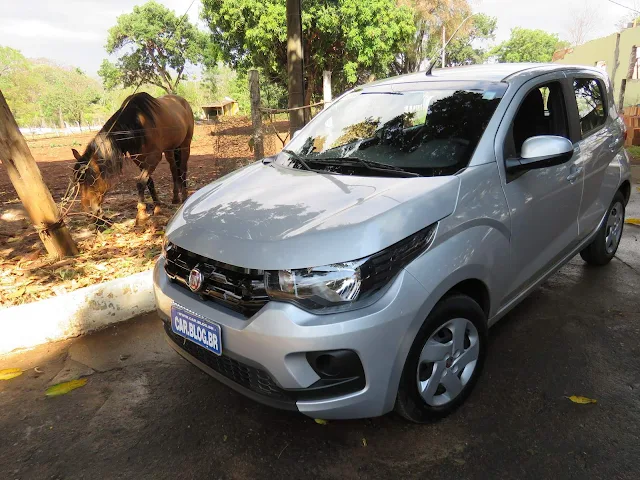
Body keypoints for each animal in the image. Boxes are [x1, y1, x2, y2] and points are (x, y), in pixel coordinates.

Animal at [71, 93, 194, 224]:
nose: (89, 213)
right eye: (78, 181)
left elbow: (140, 182)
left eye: (92, 180)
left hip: (185, 144)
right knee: (174, 169)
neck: (137, 124)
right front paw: (157, 208)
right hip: (170, 149)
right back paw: (175, 198)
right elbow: (149, 182)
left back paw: (185, 197)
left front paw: (141, 215)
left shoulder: (154, 157)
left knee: (182, 169)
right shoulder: (139, 159)